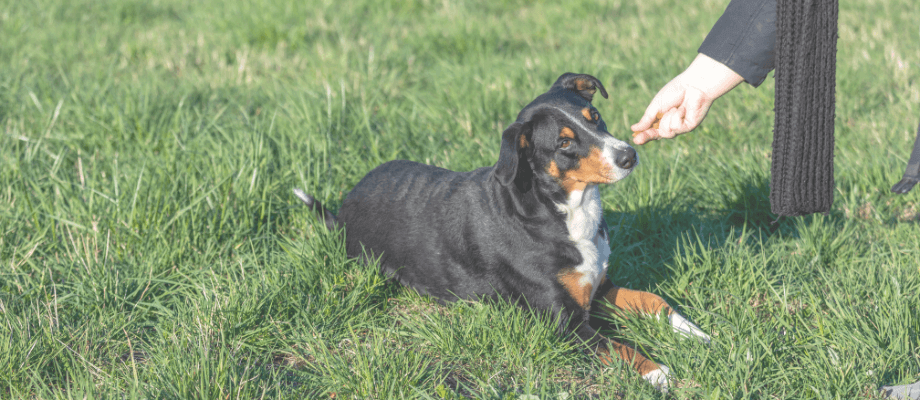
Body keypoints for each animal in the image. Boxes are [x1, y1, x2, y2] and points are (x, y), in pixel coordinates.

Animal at [294, 72, 712, 390]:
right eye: (564, 142)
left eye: (594, 117)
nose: (628, 155)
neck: (563, 213)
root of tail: (344, 207)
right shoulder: (566, 323)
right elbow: (619, 347)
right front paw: (657, 372)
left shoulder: (598, 287)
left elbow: (652, 300)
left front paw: (695, 332)